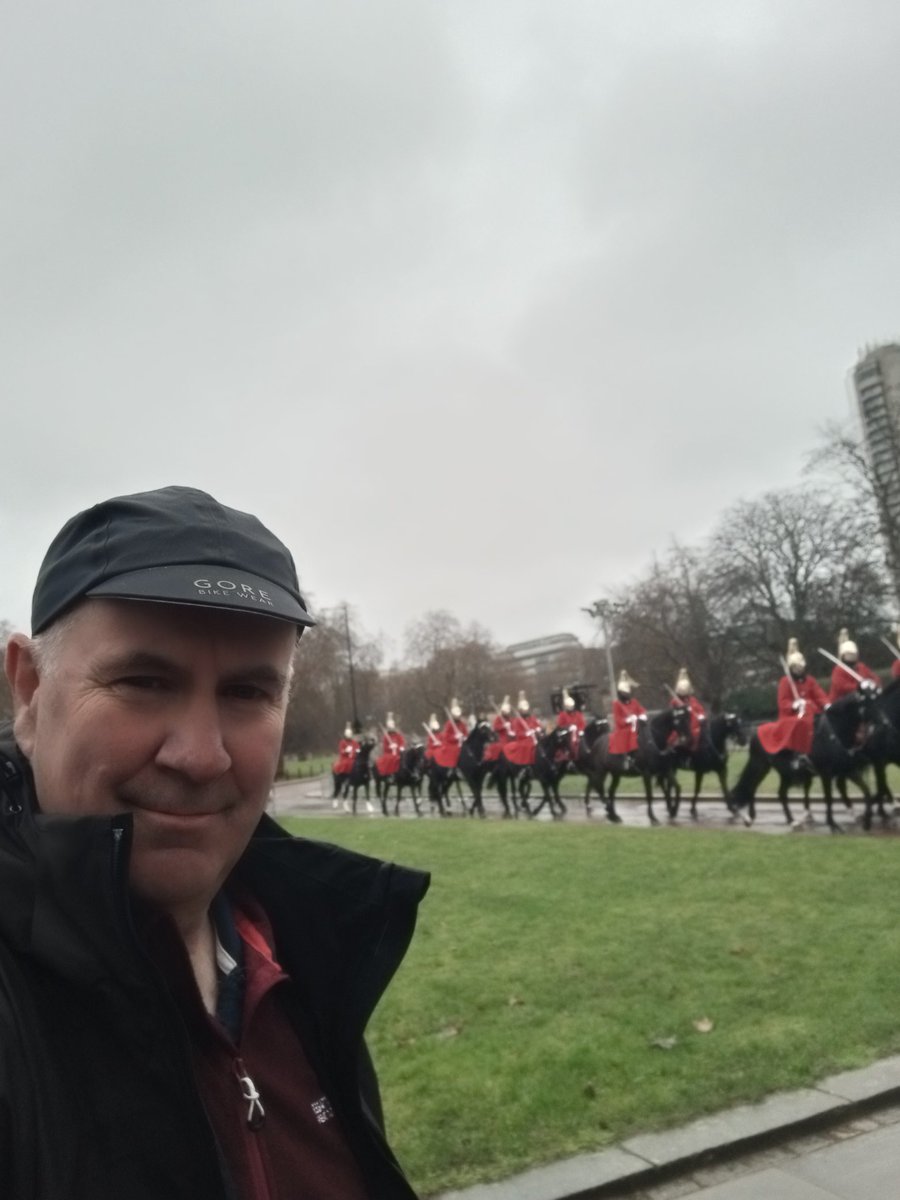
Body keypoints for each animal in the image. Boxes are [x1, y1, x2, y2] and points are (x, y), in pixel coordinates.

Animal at [734, 686, 883, 835]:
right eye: (867, 701)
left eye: (877, 699)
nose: (883, 722)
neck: (835, 734)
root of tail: (755, 732)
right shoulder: (826, 774)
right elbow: (829, 798)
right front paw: (833, 824)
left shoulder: (848, 771)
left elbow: (867, 792)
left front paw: (867, 822)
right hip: (760, 766)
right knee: (751, 787)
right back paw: (749, 818)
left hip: (785, 773)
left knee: (780, 794)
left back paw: (791, 821)